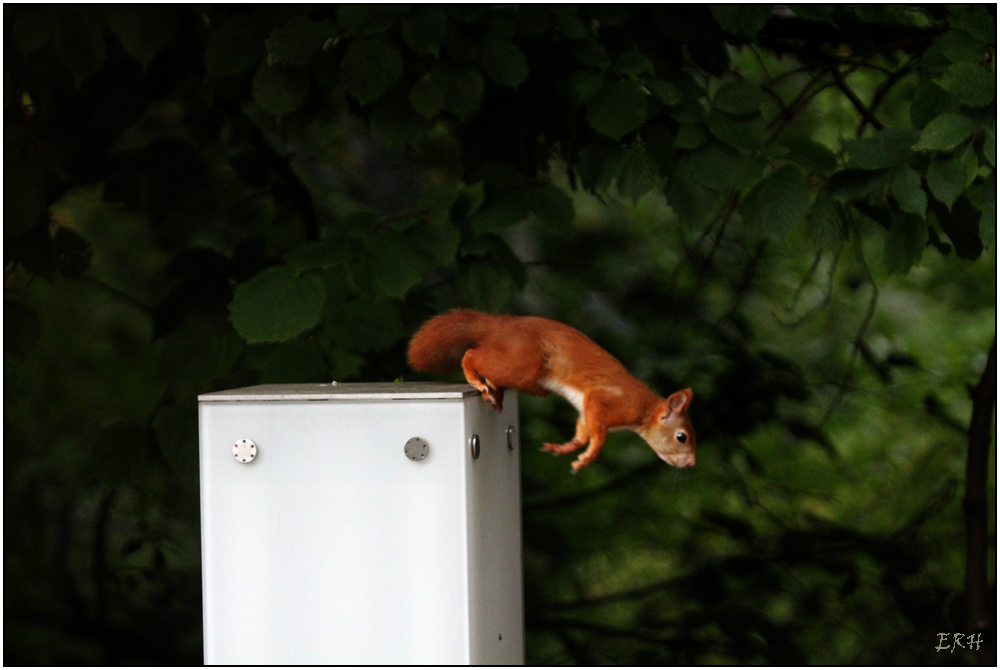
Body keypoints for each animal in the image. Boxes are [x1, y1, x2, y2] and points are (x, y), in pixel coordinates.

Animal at [406, 310, 696, 472]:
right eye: (681, 437)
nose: (691, 464)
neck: (644, 411)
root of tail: (502, 325)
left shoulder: (587, 410)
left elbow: (582, 430)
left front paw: (567, 447)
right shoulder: (604, 400)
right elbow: (598, 433)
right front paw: (591, 454)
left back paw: (496, 391)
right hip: (523, 362)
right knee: (471, 354)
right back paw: (476, 379)